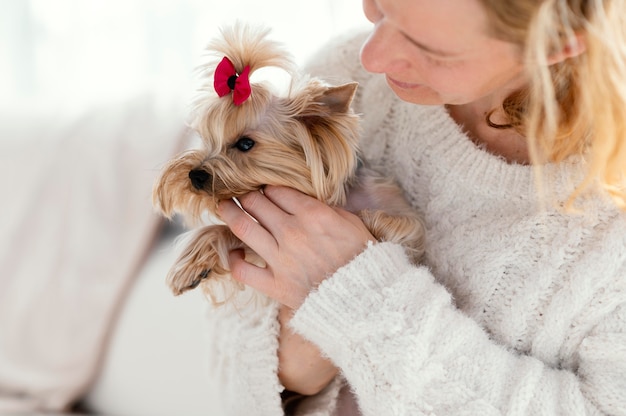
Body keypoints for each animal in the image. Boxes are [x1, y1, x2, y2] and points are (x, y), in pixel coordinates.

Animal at [152, 23, 424, 302]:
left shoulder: (405, 218)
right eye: (206, 139)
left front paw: (370, 222)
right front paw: (192, 265)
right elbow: (232, 233)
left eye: (245, 144)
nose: (195, 176)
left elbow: (394, 224)